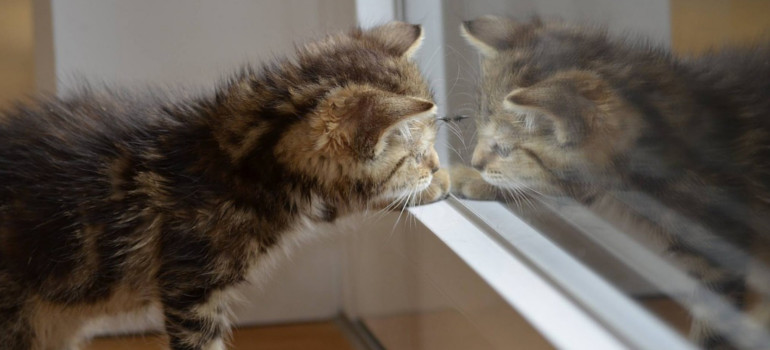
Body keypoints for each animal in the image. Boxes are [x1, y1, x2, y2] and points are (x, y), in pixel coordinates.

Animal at [0, 22, 448, 350]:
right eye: (415, 153)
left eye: (429, 147)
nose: (435, 165)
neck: (240, 155)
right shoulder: (191, 291)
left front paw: (445, 182)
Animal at [456, 15, 768, 348]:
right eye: (479, 127)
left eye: (503, 148)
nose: (475, 162)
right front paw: (469, 178)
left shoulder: (721, 250)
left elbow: (715, 324)